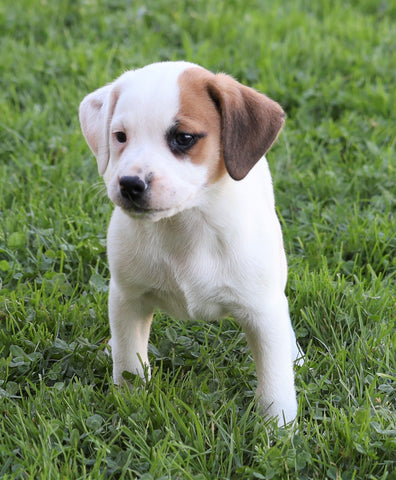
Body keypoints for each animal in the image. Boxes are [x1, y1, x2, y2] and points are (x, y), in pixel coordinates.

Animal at [79, 62, 304, 426]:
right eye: (120, 136)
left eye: (183, 138)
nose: (130, 184)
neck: (185, 225)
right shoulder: (127, 298)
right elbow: (129, 365)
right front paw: (131, 408)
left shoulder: (262, 311)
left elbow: (275, 386)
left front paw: (278, 432)